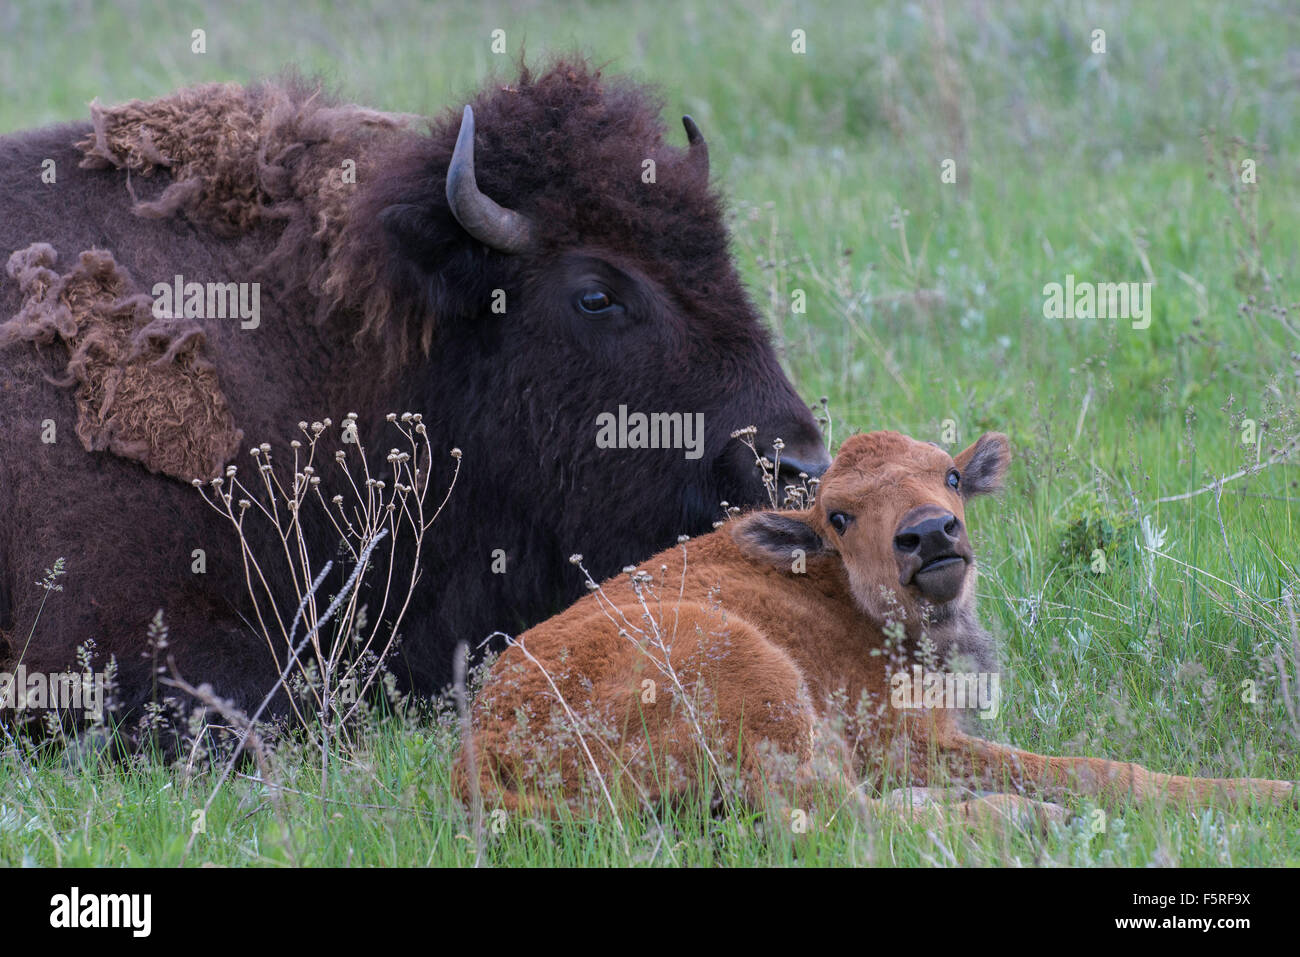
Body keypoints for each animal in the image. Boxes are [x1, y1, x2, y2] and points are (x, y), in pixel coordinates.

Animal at [457, 429, 1289, 816]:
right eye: (840, 514)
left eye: (949, 474)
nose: (929, 533)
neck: (834, 586)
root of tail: (480, 747)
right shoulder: (913, 741)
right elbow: (1097, 768)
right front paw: (1273, 792)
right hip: (754, 676)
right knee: (843, 819)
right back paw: (1026, 821)